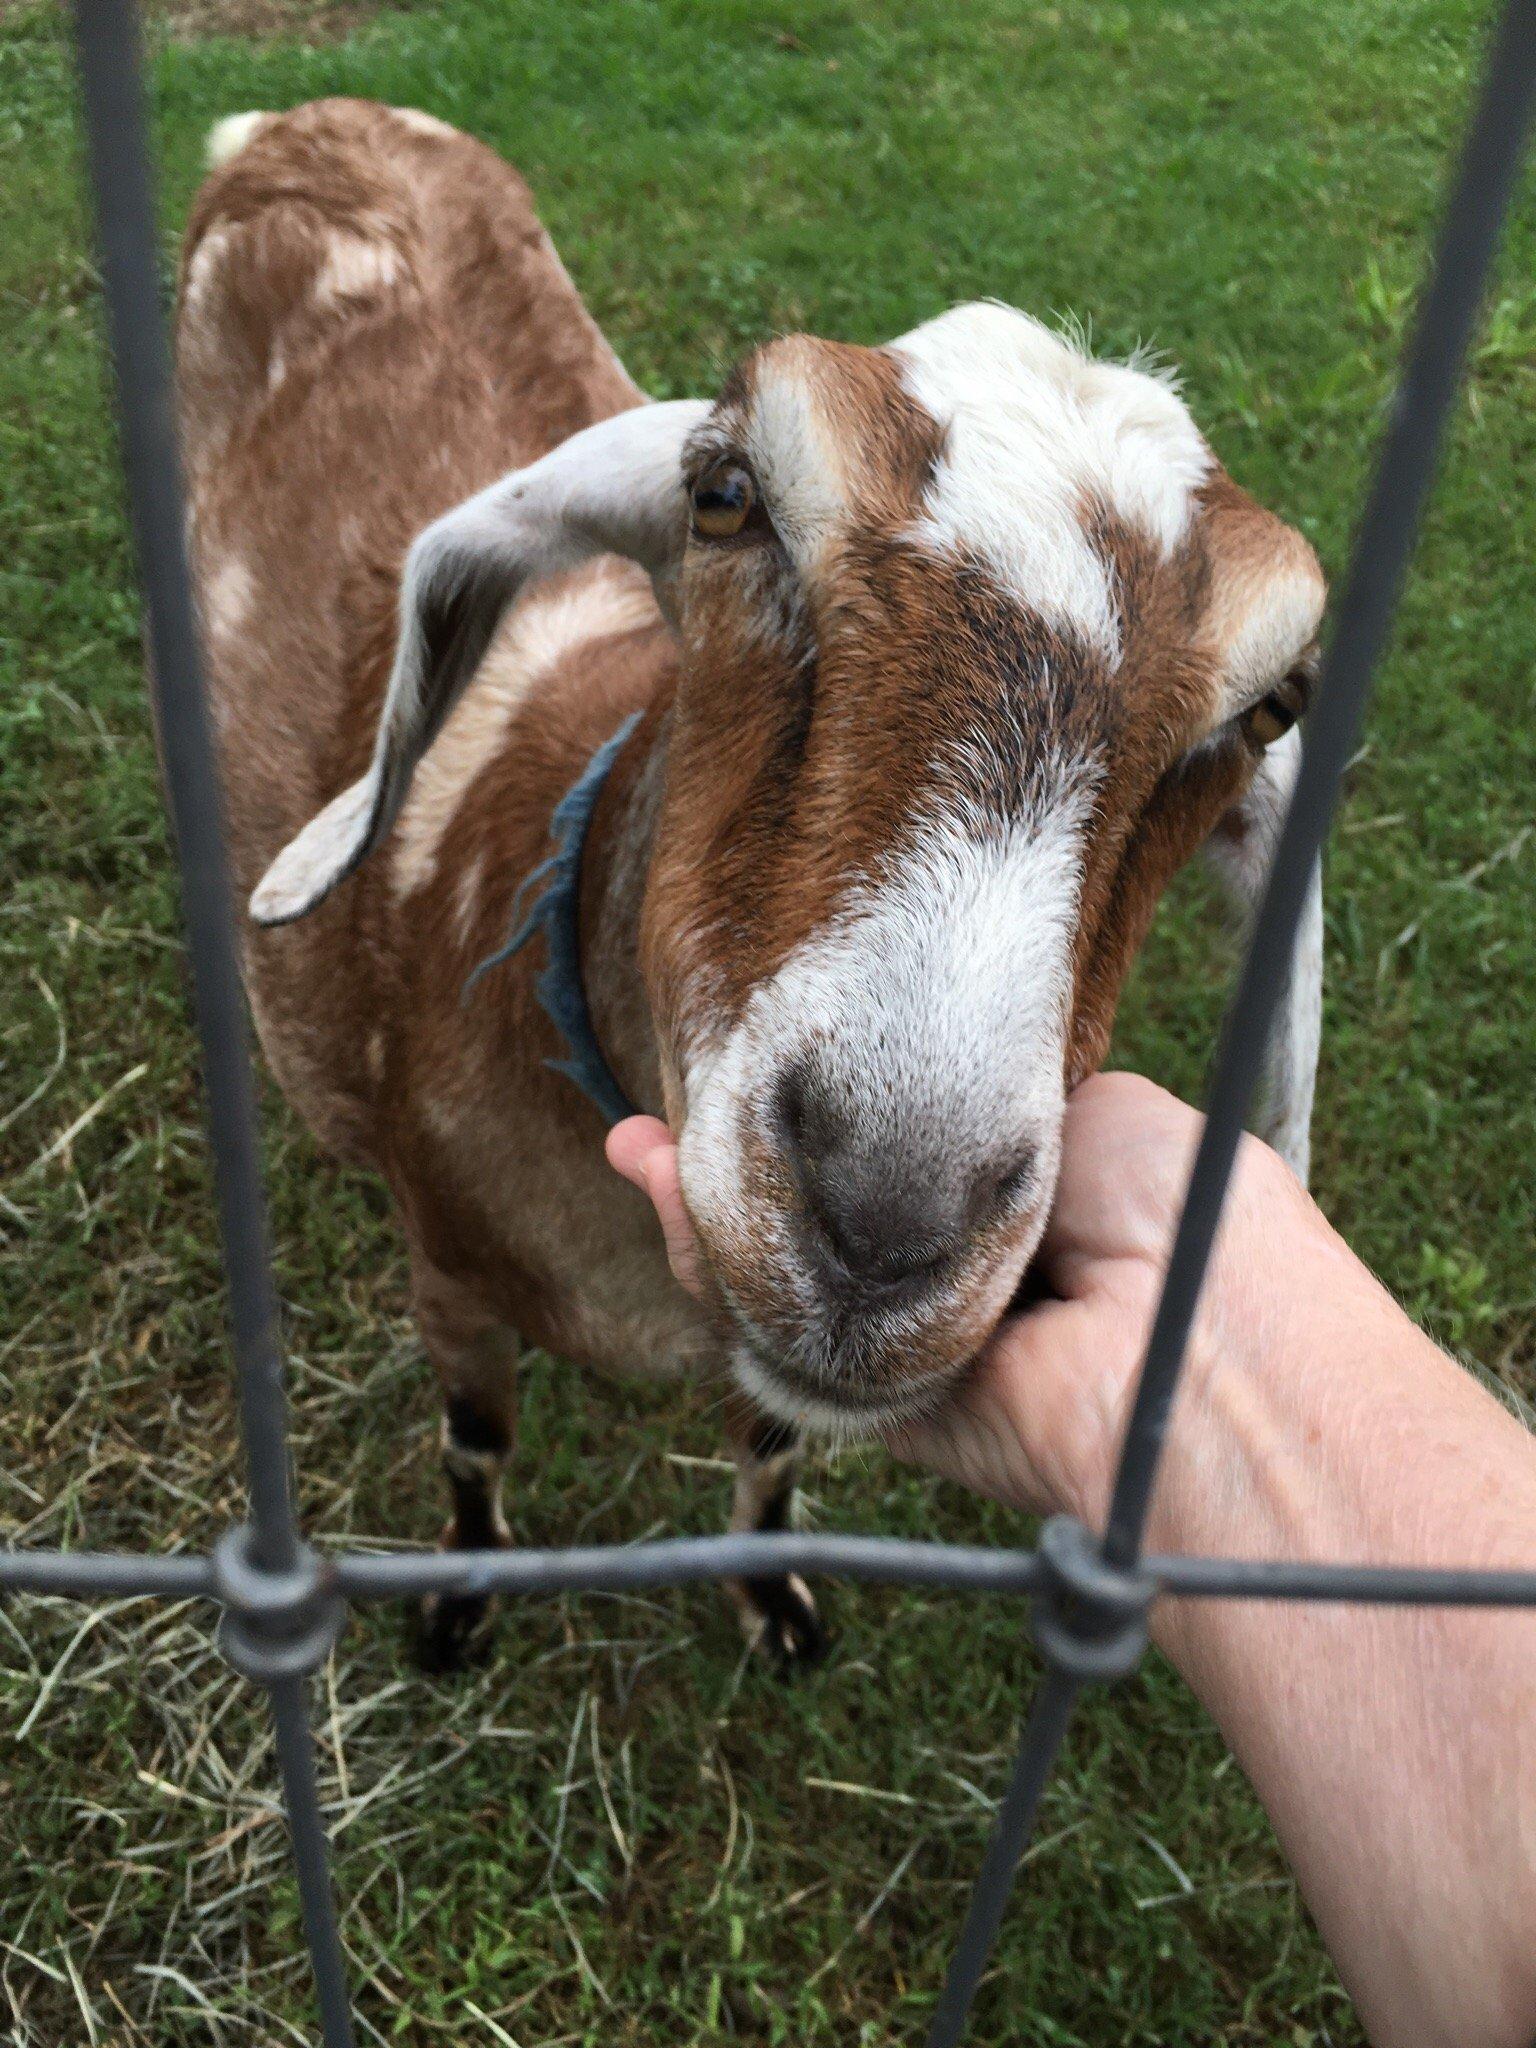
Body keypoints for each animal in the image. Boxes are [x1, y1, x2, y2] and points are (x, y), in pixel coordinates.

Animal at [176, 99, 1325, 1668]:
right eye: (725, 494)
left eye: (1274, 705)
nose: (889, 1218)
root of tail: (305, 119)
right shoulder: (451, 1279)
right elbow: (477, 1442)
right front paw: (461, 1599)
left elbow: (773, 1447)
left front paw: (772, 1596)